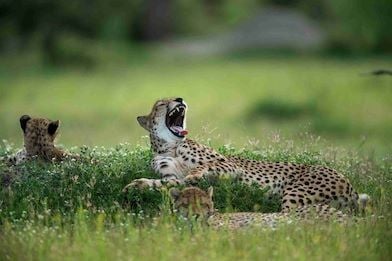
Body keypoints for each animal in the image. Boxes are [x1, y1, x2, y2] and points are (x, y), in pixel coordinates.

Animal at [124, 97, 370, 211]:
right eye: (160, 103)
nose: (180, 98)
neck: (171, 146)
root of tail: (351, 187)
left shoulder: (230, 167)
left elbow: (202, 168)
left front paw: (195, 173)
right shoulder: (175, 178)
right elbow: (165, 183)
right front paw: (136, 185)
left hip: (295, 193)